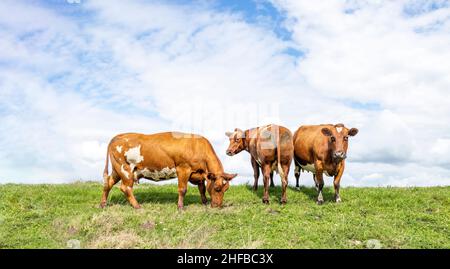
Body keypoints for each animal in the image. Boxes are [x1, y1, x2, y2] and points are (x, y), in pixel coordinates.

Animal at [100, 131, 237, 208]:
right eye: (217, 188)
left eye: (226, 188)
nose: (218, 206)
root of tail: (119, 136)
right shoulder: (183, 169)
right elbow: (182, 189)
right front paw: (180, 207)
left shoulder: (198, 173)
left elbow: (202, 188)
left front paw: (205, 202)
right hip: (125, 169)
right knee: (126, 188)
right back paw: (137, 206)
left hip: (117, 169)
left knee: (108, 183)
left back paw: (103, 204)